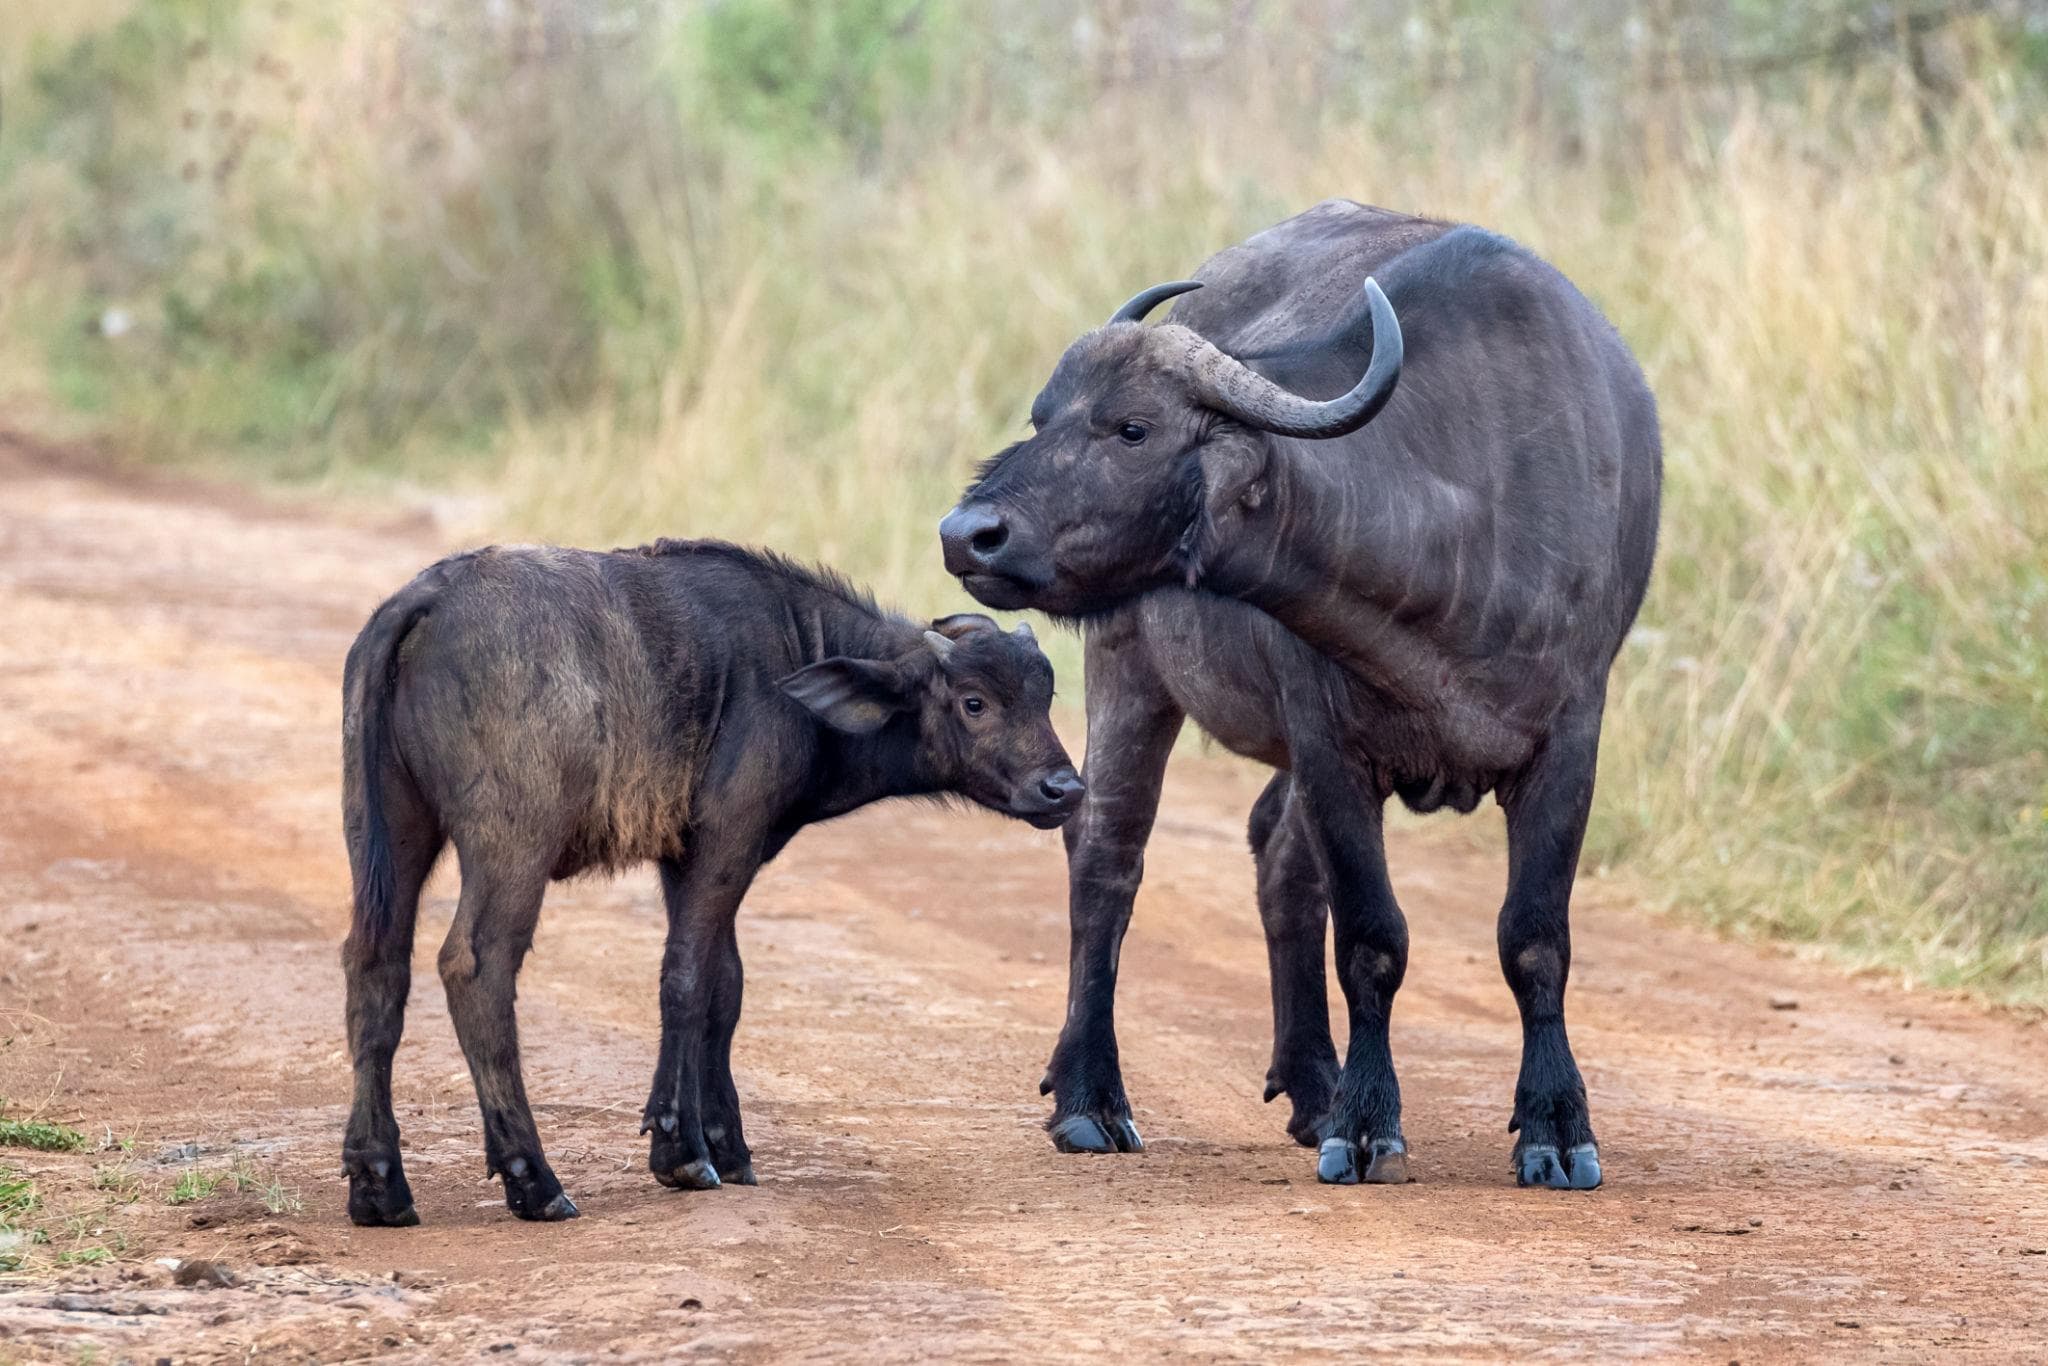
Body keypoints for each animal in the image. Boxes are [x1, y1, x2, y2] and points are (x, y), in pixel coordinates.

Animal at [340, 538, 1082, 1225]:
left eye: (1045, 697)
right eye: (974, 702)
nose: (1065, 789)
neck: (790, 659)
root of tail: (429, 597)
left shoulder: (689, 858)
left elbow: (726, 987)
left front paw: (728, 1143)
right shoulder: (730, 835)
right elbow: (688, 977)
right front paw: (682, 1149)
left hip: (387, 831)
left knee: (375, 966)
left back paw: (378, 1182)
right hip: (512, 844)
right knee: (476, 967)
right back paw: (535, 1179)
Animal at [938, 200, 1661, 1189]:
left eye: (1132, 428)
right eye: (1042, 417)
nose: (966, 534)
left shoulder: (1569, 743)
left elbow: (1534, 941)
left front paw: (1555, 1127)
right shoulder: (1331, 745)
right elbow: (1371, 940)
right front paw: (1366, 1125)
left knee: (1277, 860)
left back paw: (1312, 1081)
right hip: (1130, 666)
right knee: (1107, 856)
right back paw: (1093, 1097)